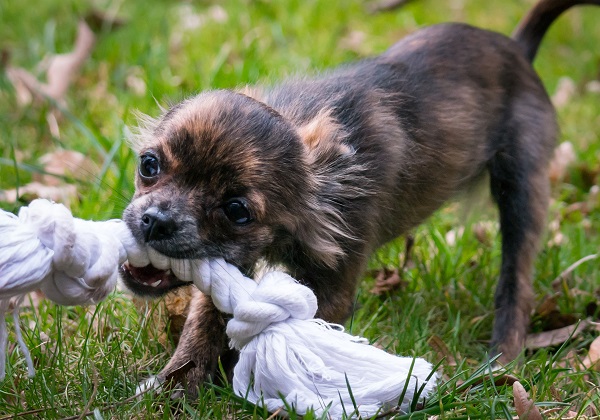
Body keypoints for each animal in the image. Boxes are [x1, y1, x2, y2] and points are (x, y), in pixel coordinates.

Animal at [119, 0, 596, 394]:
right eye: (149, 165)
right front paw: (175, 386)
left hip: (522, 189)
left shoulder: (333, 286)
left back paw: (501, 360)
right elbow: (202, 324)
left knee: (517, 281)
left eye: (237, 211)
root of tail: (517, 49)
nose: (155, 221)